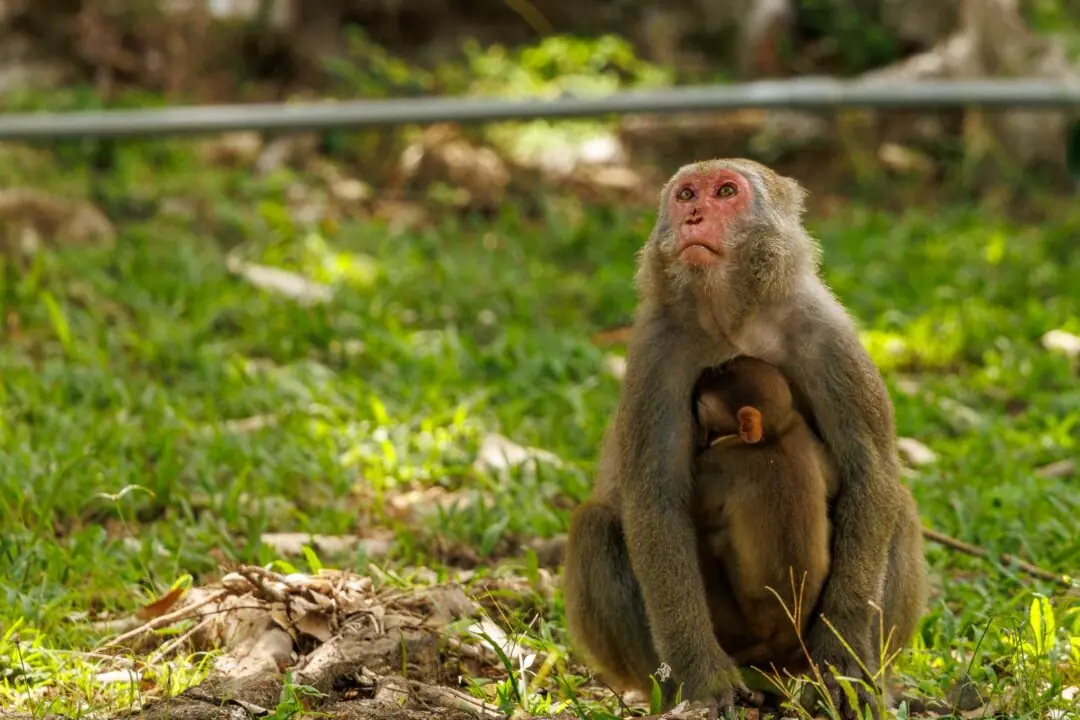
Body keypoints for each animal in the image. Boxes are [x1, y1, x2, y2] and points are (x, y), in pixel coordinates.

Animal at [690, 355, 838, 673]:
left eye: (703, 406)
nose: (696, 391)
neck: (770, 437)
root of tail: (788, 630)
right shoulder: (801, 430)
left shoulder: (719, 465)